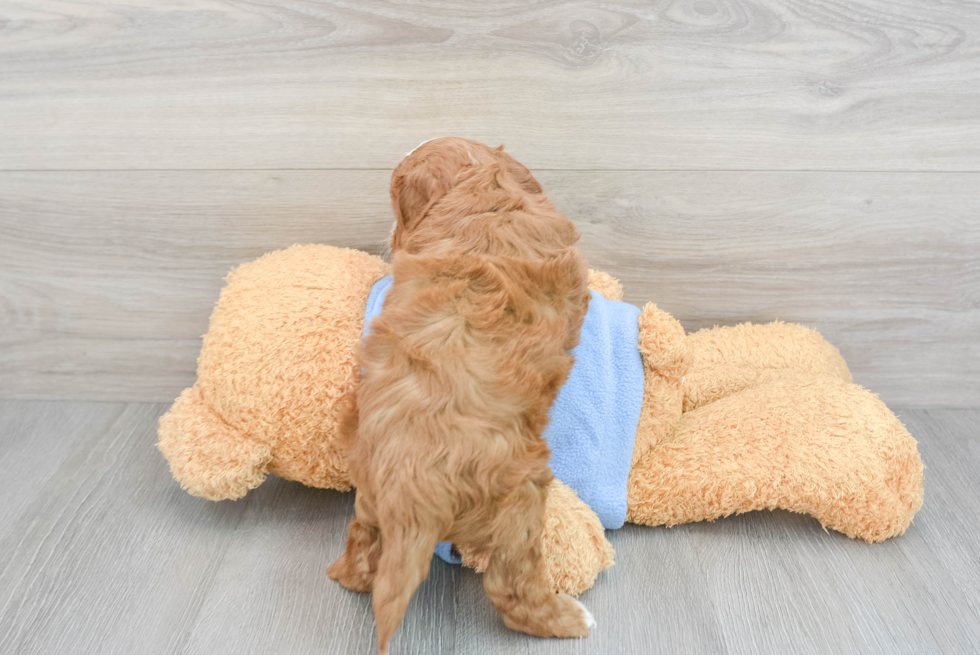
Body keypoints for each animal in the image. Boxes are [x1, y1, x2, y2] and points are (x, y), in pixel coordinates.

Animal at [328, 137, 588, 652]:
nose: (390, 235)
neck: (478, 189)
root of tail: (410, 493)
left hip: (368, 495)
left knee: (363, 542)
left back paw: (345, 574)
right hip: (522, 501)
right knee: (511, 588)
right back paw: (570, 619)